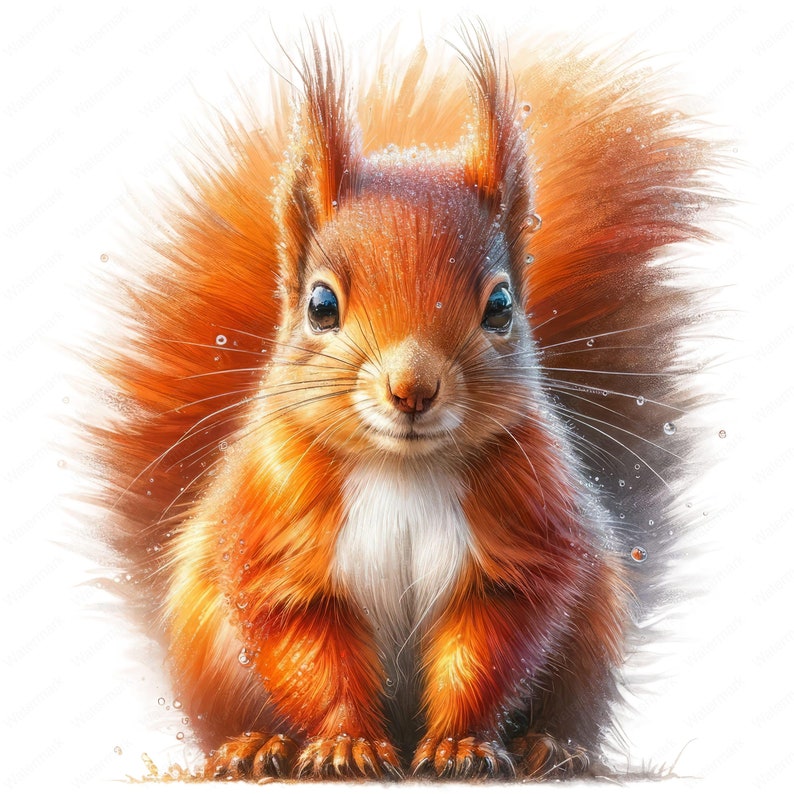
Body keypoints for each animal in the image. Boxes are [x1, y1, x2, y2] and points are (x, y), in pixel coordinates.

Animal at [84, 22, 721, 781]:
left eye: (501, 305)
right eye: (320, 305)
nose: (412, 388)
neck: (402, 473)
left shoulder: (522, 537)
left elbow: (487, 647)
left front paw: (460, 746)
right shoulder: (277, 535)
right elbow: (308, 646)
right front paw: (346, 744)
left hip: (591, 634)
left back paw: (551, 746)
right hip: (204, 647)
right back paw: (251, 745)